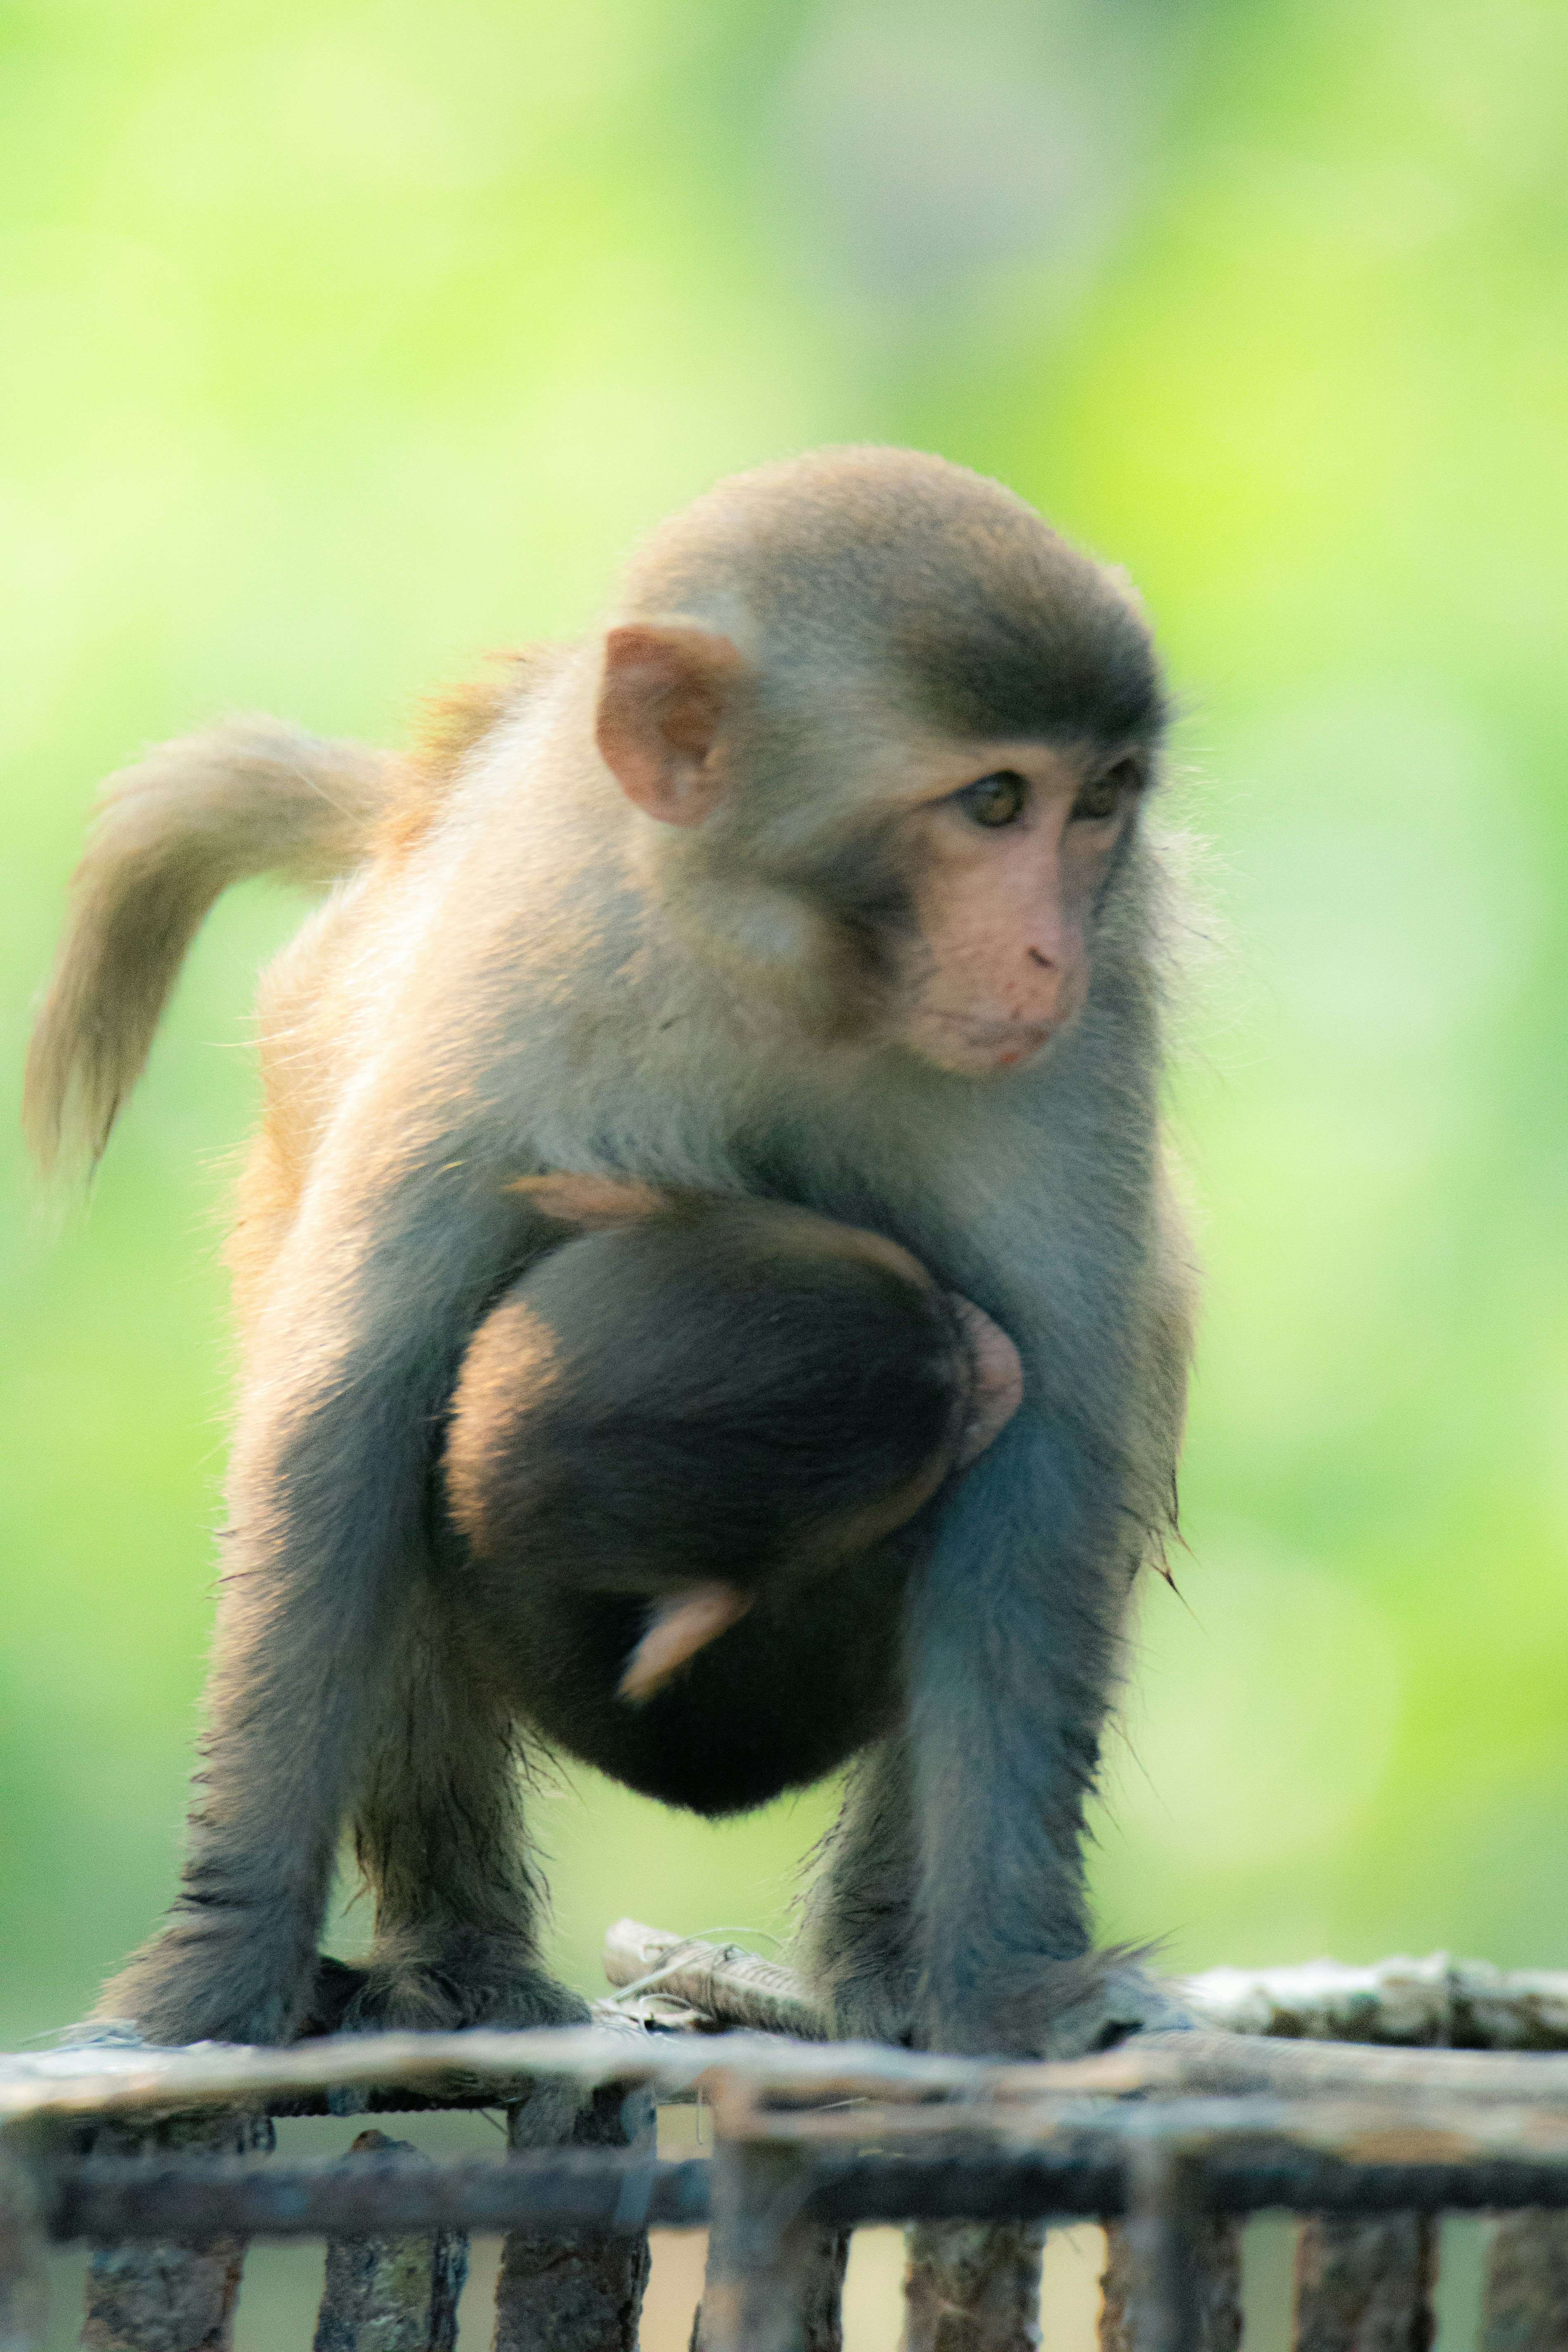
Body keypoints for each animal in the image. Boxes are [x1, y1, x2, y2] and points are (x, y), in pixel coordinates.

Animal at [26, 444, 1195, 2061]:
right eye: (992, 799)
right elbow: (343, 1423)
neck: (783, 968)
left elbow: (1051, 1456)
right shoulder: (508, 989)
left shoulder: (1075, 1056)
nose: (1045, 952)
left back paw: (884, 1952)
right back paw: (454, 1951)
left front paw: (1008, 1982)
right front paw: (214, 1960)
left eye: (1099, 803)